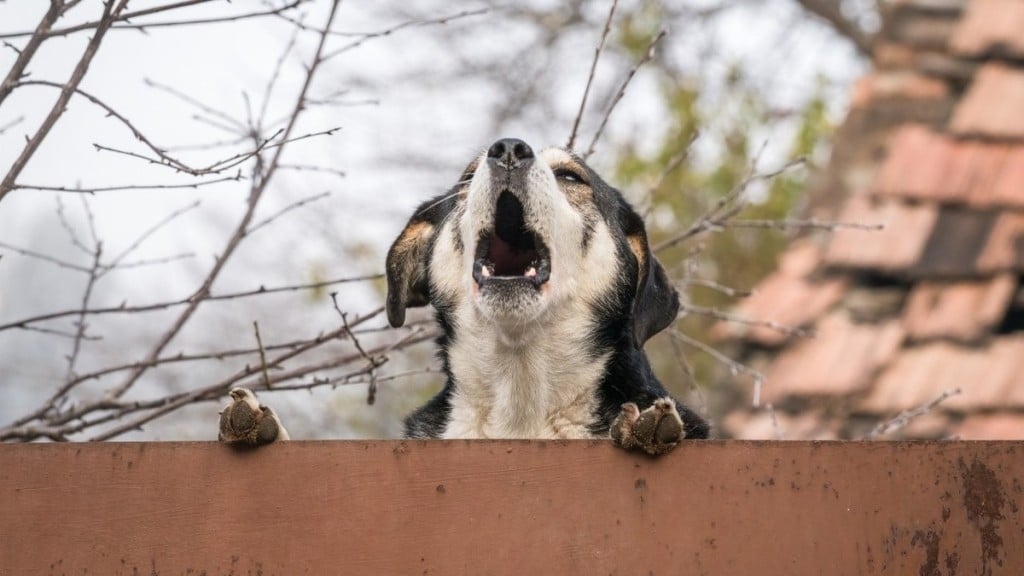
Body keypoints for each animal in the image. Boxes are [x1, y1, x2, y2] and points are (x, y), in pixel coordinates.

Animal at [220, 138, 708, 453]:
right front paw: (260, 427)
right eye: (468, 178)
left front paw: (643, 430)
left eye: (570, 176)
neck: (519, 395)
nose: (508, 149)